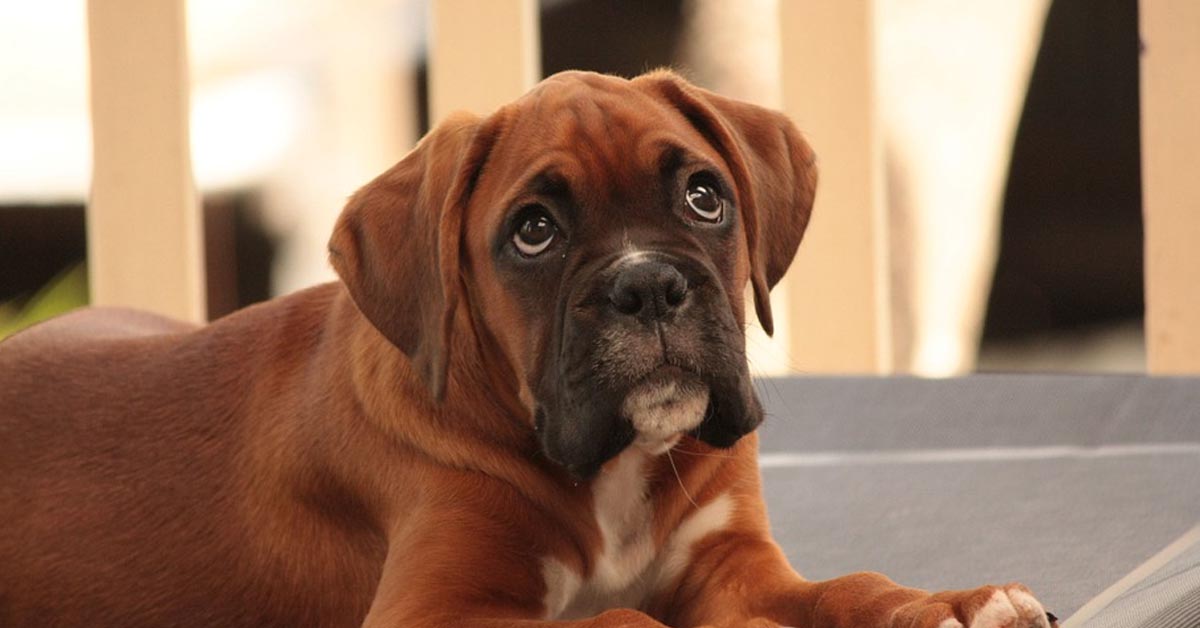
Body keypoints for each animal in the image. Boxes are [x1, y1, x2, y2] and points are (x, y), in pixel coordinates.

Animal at [0, 69, 1051, 628]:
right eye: (533, 233)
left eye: (704, 196)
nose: (648, 284)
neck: (610, 469)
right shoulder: (435, 611)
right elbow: (614, 621)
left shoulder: (734, 569)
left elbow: (849, 586)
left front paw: (954, 603)